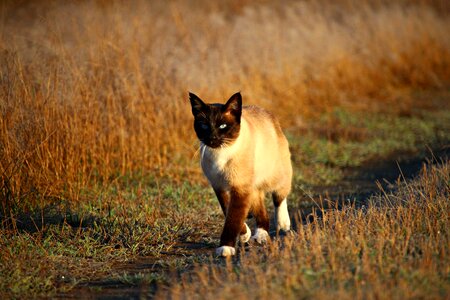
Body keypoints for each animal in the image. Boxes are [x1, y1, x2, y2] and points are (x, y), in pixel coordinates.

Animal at [189, 91, 292, 255]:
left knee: (280, 195)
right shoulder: (220, 187)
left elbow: (233, 218)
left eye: (222, 126)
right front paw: (244, 235)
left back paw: (283, 224)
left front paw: (225, 248)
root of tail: (265, 111)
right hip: (253, 188)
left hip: (274, 174)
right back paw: (260, 236)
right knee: (263, 215)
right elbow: (229, 212)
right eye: (204, 125)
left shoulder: (239, 188)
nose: (212, 138)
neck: (220, 153)